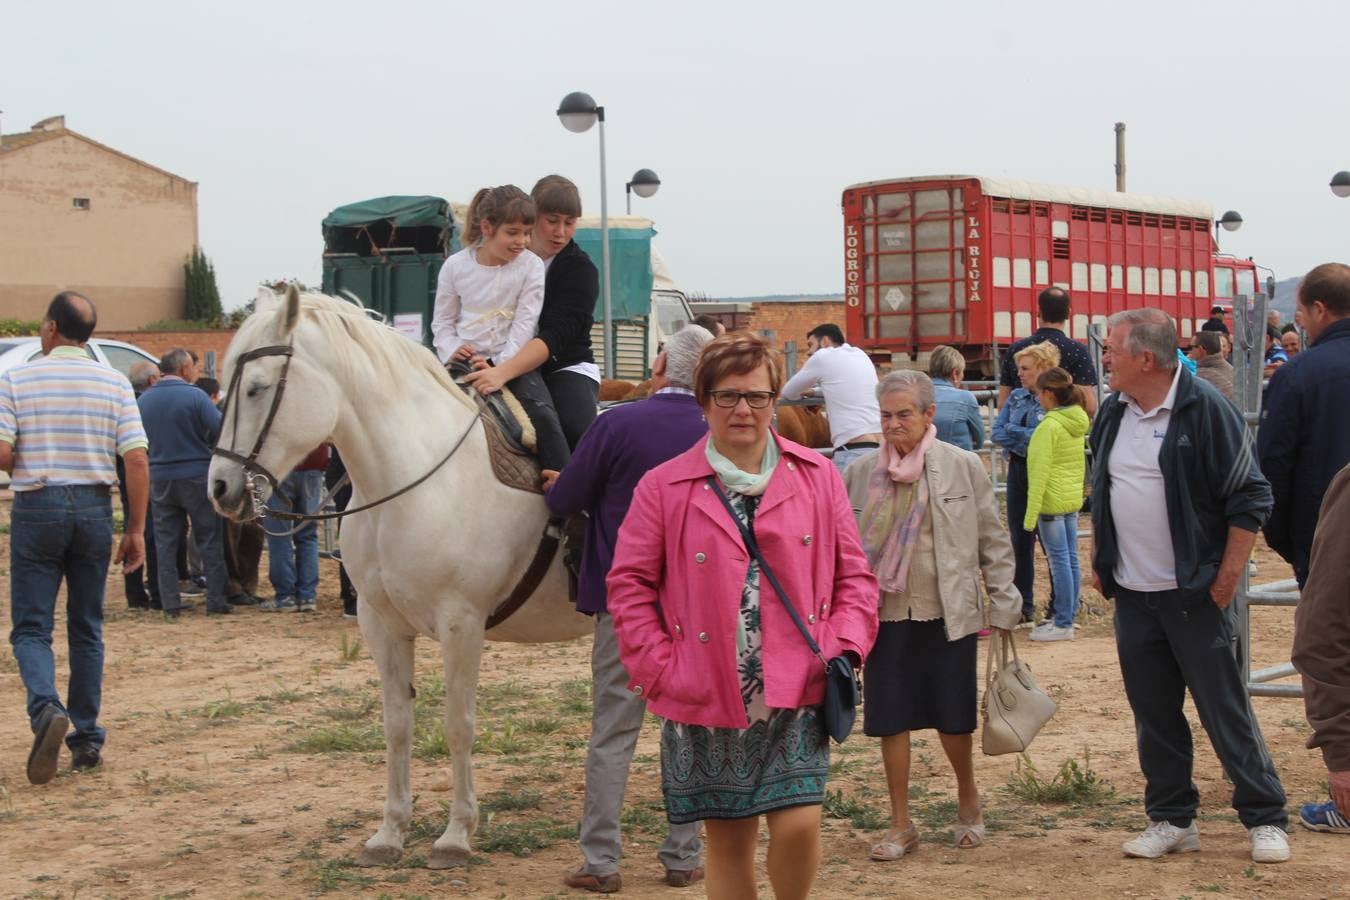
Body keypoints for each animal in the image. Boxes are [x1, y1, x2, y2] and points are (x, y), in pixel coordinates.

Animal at [210, 284, 591, 868]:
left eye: (256, 388)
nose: (220, 488)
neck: (412, 481)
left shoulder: (461, 624)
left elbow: (458, 725)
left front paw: (456, 835)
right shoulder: (380, 623)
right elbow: (397, 725)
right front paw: (390, 832)